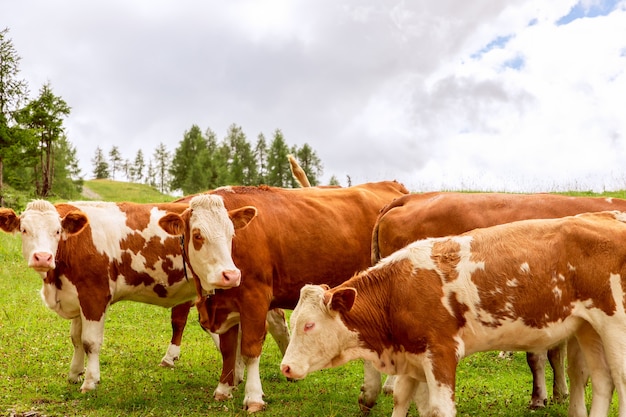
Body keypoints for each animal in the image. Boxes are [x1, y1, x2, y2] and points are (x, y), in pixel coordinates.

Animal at [158, 180, 408, 412]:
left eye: (232, 234)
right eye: (198, 235)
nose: (230, 275)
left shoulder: (255, 297)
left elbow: (250, 349)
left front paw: (253, 397)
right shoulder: (225, 304)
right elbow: (229, 349)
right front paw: (223, 388)